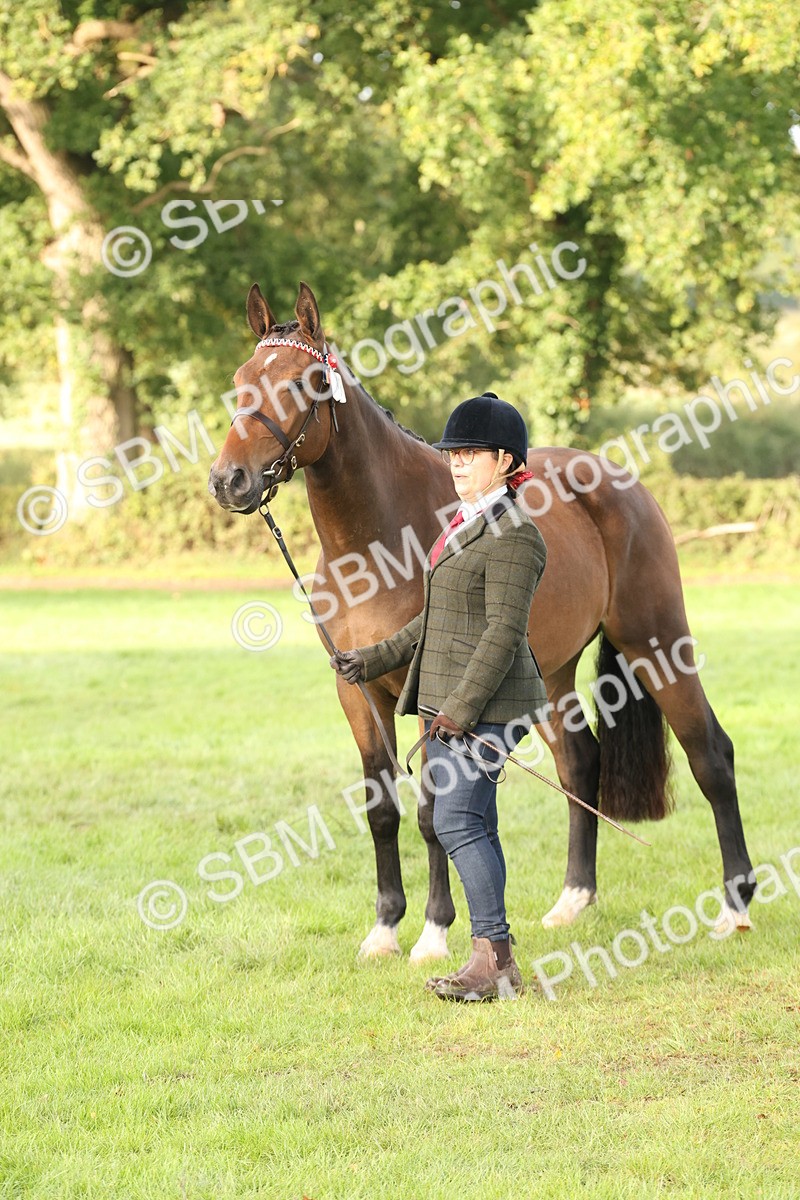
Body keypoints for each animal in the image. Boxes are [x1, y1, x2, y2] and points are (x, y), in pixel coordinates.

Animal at [208, 281, 756, 960]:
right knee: (581, 762)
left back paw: (735, 907)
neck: (374, 541)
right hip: (549, 674)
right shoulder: (356, 690)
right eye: (239, 381)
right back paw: (573, 900)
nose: (229, 481)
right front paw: (384, 929)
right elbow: (382, 809)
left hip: (657, 643)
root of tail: (621, 483)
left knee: (711, 755)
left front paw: (434, 932)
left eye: (303, 381)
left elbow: (429, 814)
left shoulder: (434, 694)